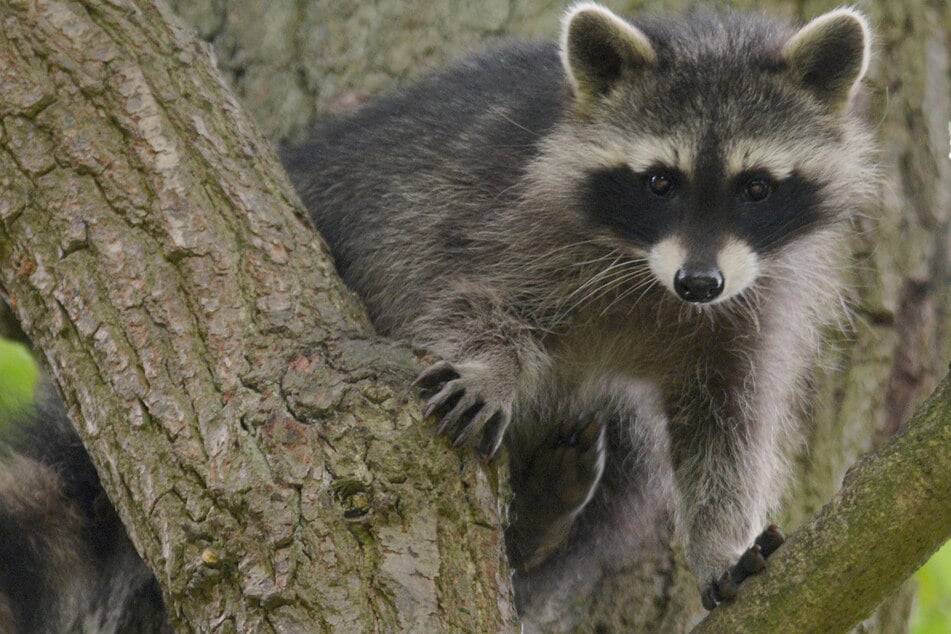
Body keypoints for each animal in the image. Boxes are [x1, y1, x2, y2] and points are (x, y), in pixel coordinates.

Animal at [282, 1, 876, 616]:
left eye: (756, 188)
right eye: (660, 182)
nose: (699, 284)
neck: (649, 274)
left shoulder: (751, 305)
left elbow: (725, 429)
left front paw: (721, 542)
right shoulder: (496, 218)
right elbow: (468, 297)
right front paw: (491, 367)